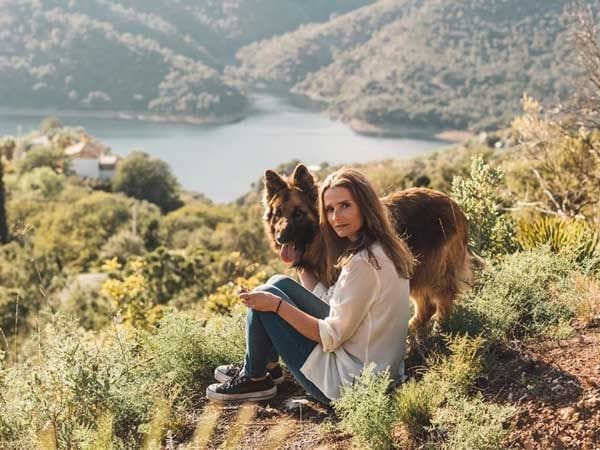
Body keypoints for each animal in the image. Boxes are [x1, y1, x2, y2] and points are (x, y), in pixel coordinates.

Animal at [262, 163, 474, 328]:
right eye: (278, 213)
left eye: (298, 213)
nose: (280, 238)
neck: (321, 239)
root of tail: (455, 205)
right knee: (426, 305)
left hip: (430, 270)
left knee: (444, 296)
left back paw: (439, 327)